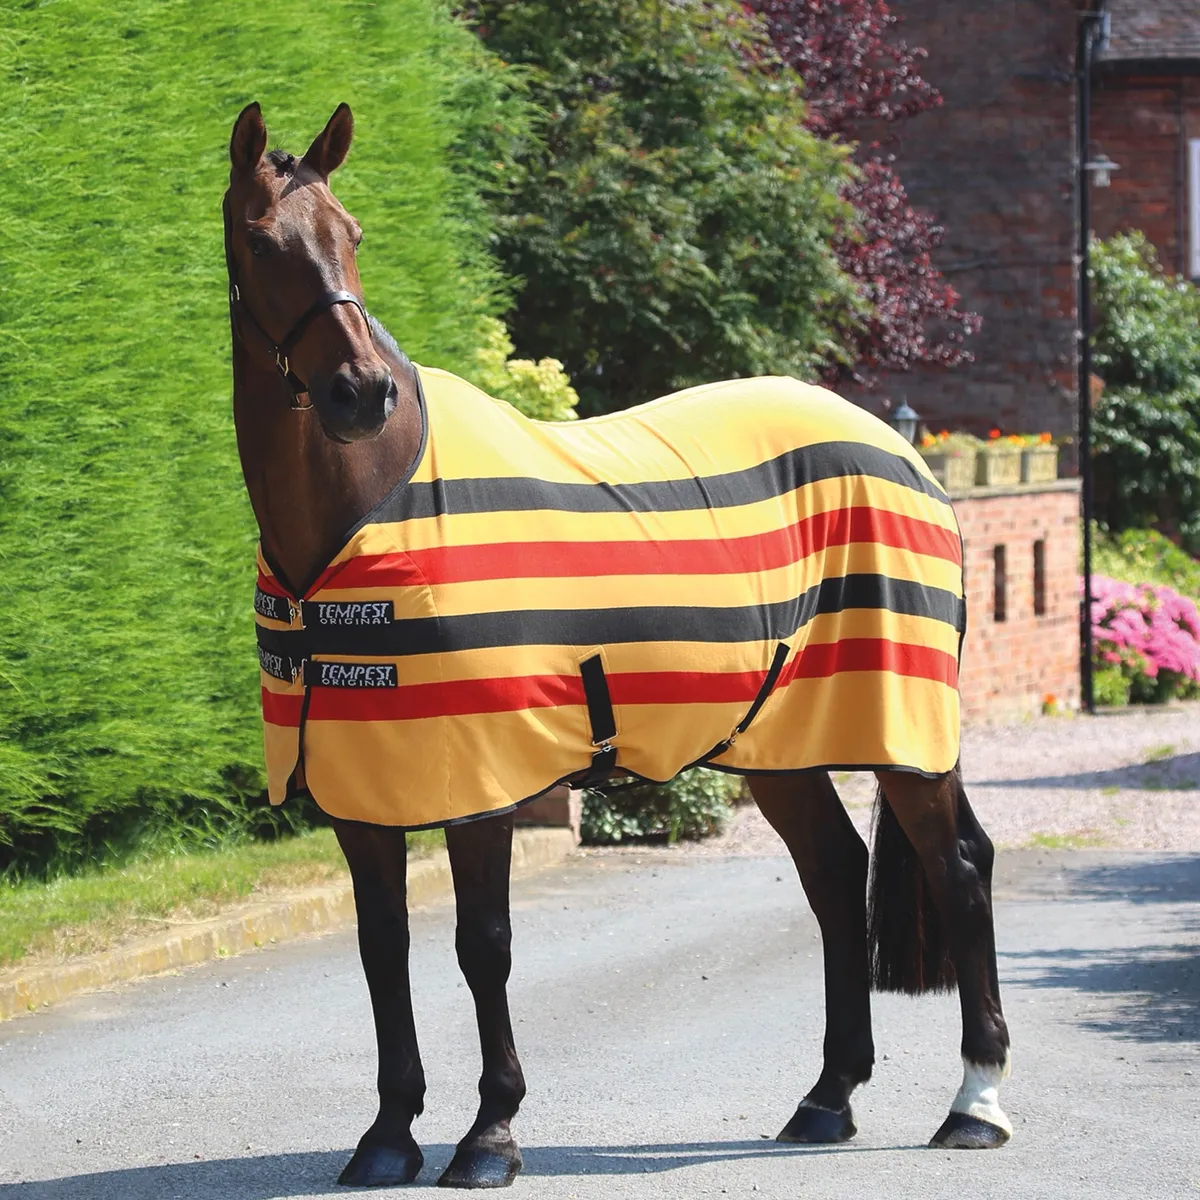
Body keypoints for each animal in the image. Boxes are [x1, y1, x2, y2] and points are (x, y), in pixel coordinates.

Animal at [225, 102, 1012, 1189]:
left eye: (353, 236)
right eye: (263, 243)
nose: (360, 393)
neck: (363, 513)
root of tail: (902, 452)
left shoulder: (484, 784)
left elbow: (483, 945)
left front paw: (490, 1136)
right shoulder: (358, 787)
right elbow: (383, 947)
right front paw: (386, 1138)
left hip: (903, 733)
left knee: (960, 867)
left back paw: (975, 1104)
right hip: (776, 745)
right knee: (832, 873)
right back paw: (826, 1098)